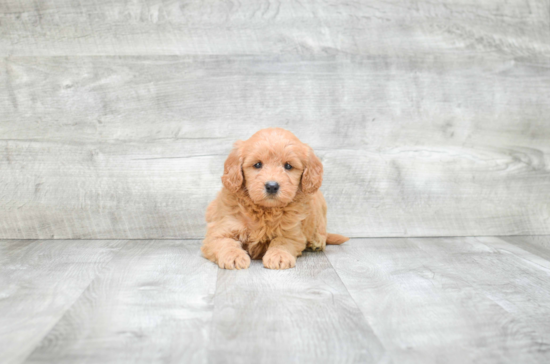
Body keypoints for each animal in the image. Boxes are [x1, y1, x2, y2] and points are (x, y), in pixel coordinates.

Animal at [202, 129, 350, 270]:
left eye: (288, 166)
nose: (272, 186)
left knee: (321, 229)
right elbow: (225, 242)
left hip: (319, 203)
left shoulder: (292, 233)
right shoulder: (221, 229)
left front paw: (279, 256)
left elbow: (281, 242)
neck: (265, 210)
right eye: (257, 164)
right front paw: (233, 256)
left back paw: (317, 243)